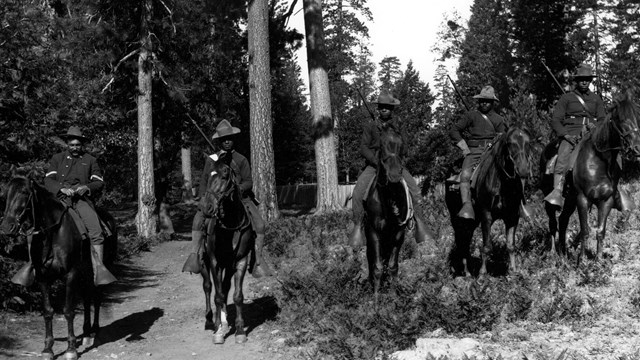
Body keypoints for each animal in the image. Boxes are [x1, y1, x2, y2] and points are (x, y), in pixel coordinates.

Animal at [0, 173, 116, 358]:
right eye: (6, 194)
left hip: (101, 268)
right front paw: (48, 349)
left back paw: (94, 331)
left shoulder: (71, 274)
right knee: (87, 297)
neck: (53, 234)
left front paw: (71, 349)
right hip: (85, 273)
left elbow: (68, 310)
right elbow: (48, 311)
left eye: (24, 192)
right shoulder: (43, 277)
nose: (6, 227)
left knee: (97, 296)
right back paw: (86, 333)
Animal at [199, 153, 254, 344]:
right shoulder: (214, 261)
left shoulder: (240, 261)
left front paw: (240, 331)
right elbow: (218, 295)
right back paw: (212, 320)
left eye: (224, 176)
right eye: (208, 176)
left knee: (224, 286)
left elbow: (237, 296)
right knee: (209, 287)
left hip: (228, 267)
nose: (206, 208)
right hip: (204, 263)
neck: (230, 226)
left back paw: (223, 322)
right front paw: (218, 332)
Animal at [364, 124, 410, 304]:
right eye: (382, 146)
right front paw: (376, 300)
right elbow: (376, 267)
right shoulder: (373, 232)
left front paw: (393, 296)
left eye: (402, 145)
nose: (395, 175)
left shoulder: (398, 233)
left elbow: (392, 266)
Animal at [444, 126, 536, 276]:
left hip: (473, 221)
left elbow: (510, 245)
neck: (502, 184)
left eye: (528, 143)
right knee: (461, 240)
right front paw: (482, 274)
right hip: (457, 219)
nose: (523, 170)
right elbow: (486, 246)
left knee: (466, 239)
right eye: (510, 143)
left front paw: (514, 271)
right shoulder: (486, 214)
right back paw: (466, 272)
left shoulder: (512, 217)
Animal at [540, 91, 640, 262]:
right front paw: (582, 261)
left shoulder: (606, 201)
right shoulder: (583, 198)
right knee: (553, 222)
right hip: (552, 199)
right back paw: (553, 253)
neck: (599, 161)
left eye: (637, 117)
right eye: (621, 118)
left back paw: (563, 253)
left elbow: (600, 231)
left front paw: (598, 260)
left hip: (570, 200)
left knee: (563, 220)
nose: (638, 148)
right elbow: (585, 230)